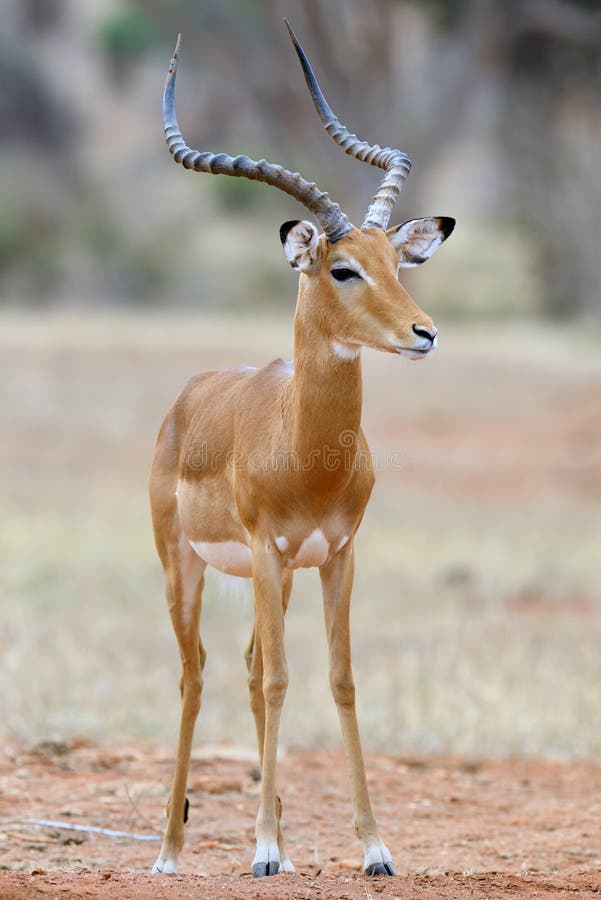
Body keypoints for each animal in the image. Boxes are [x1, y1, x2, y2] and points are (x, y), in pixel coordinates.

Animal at [149, 20, 454, 879]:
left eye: (397, 262)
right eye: (342, 268)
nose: (423, 333)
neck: (307, 451)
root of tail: (192, 393)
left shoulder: (335, 553)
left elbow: (338, 680)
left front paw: (374, 848)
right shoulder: (267, 548)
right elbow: (284, 680)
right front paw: (259, 851)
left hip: (273, 577)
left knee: (250, 670)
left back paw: (276, 835)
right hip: (188, 566)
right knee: (196, 676)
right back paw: (173, 850)